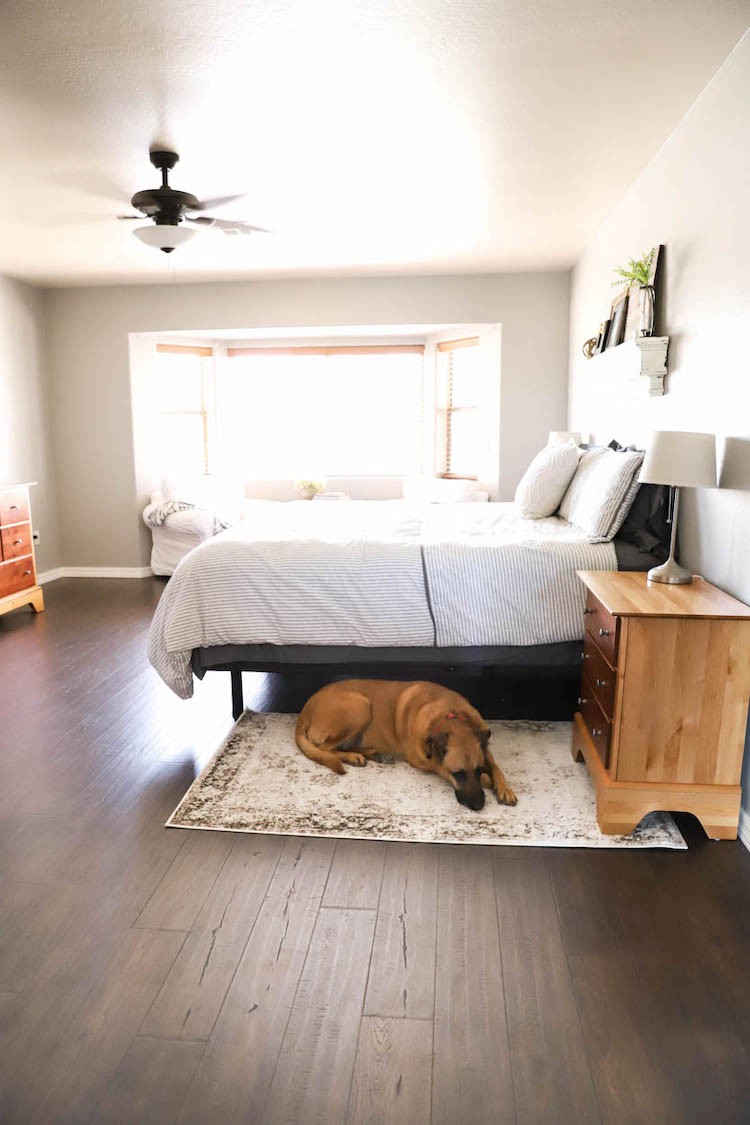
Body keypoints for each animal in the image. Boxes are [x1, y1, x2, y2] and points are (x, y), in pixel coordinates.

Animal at [292, 675, 517, 810]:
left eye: (477, 769)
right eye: (458, 774)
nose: (478, 805)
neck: (449, 717)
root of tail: (304, 711)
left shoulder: (483, 746)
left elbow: (495, 766)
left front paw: (504, 788)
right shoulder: (423, 761)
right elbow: (441, 767)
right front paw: (489, 781)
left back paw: (373, 754)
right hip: (361, 706)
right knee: (325, 748)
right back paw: (353, 756)